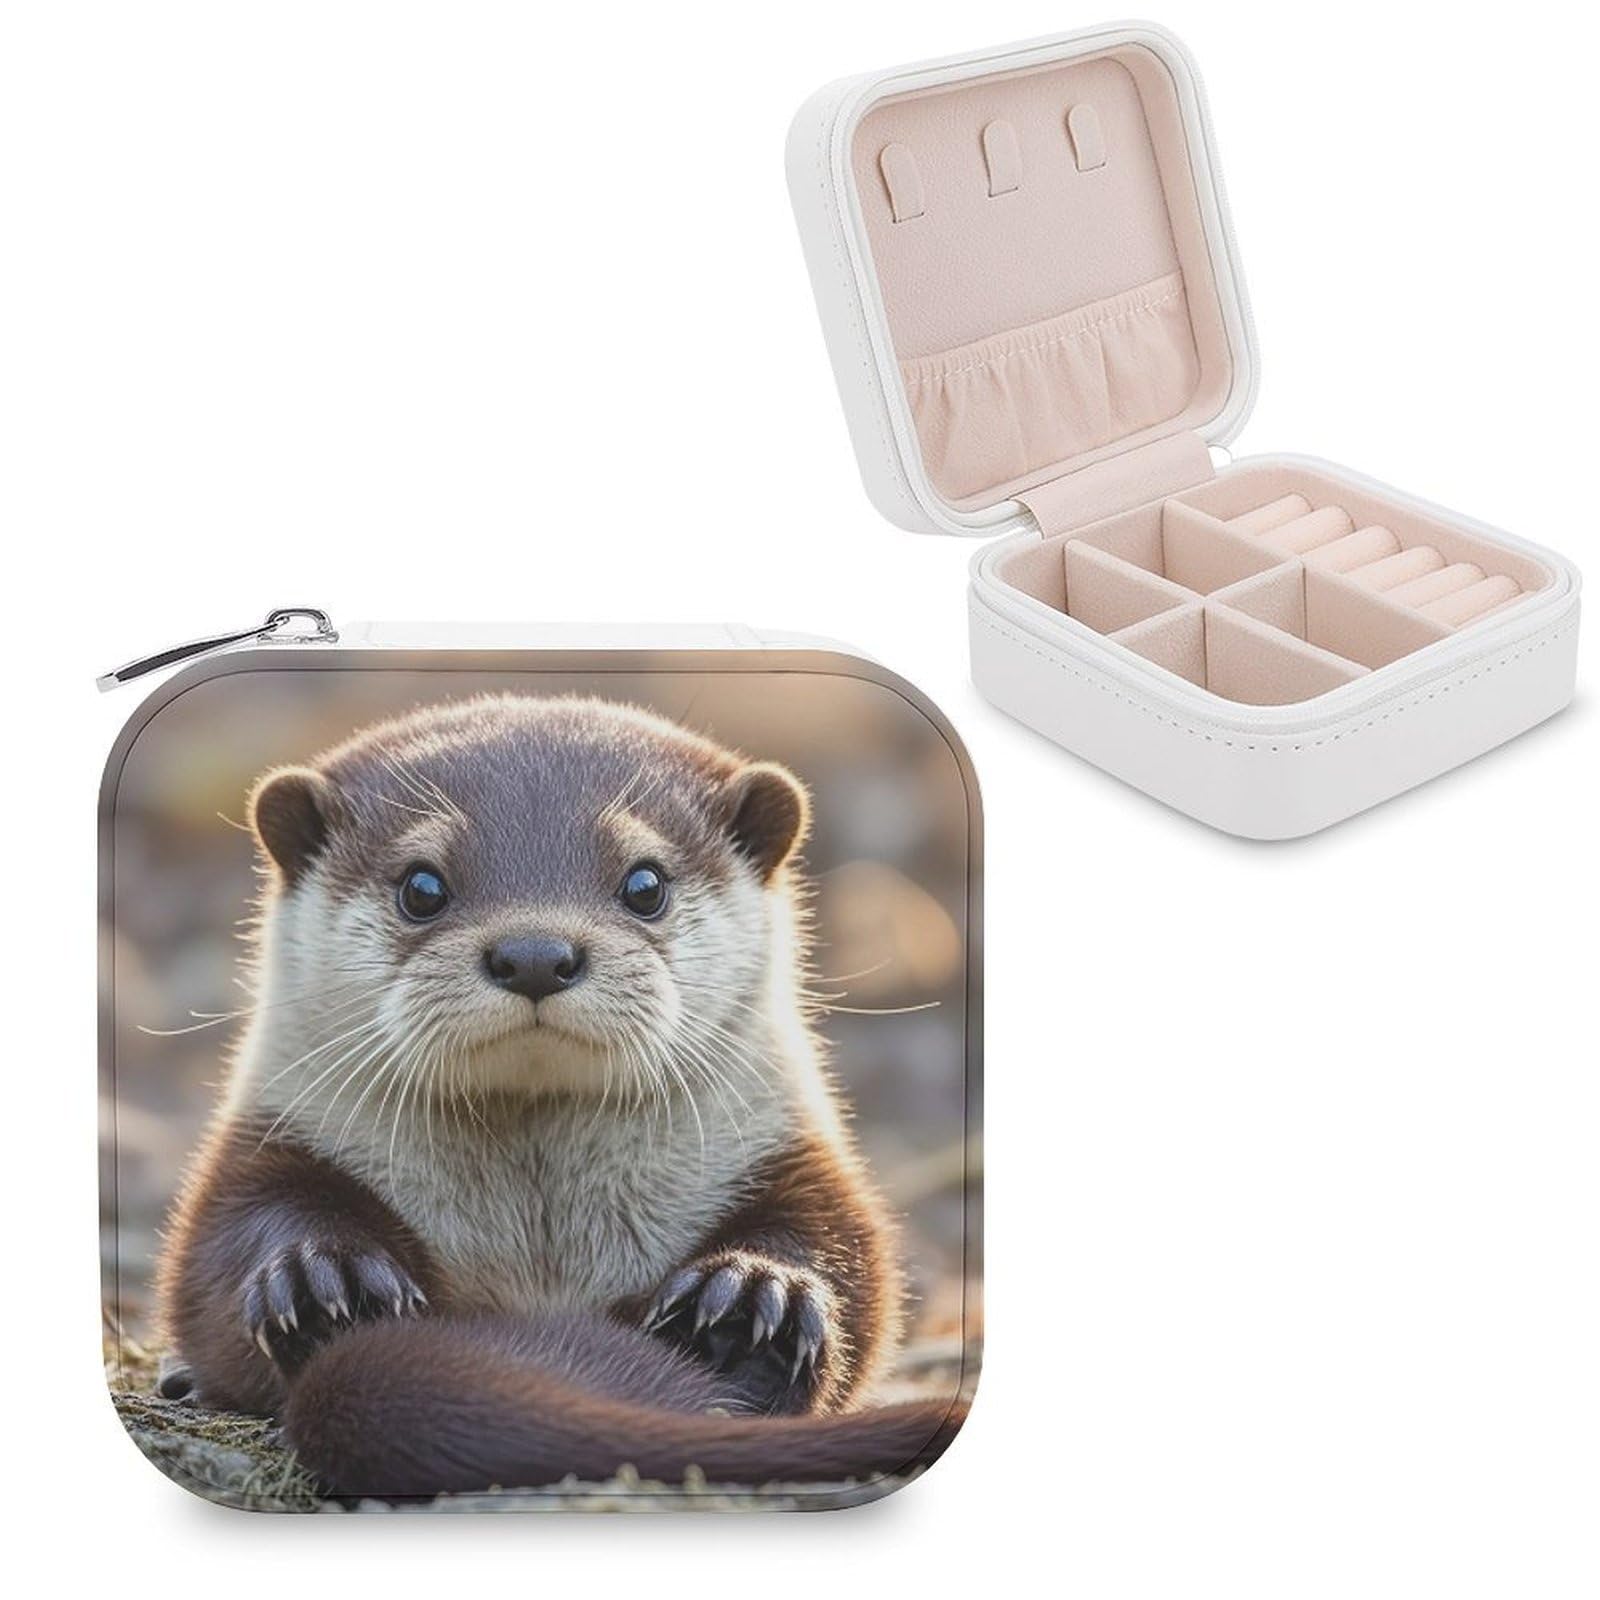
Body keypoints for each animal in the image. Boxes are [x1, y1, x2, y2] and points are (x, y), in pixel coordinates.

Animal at [156, 694, 963, 1497]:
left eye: (645, 884)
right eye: (422, 887)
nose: (536, 954)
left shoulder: (789, 1153)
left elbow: (846, 1256)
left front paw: (756, 1295)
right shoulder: (266, 1143)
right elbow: (219, 1256)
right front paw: (325, 1280)